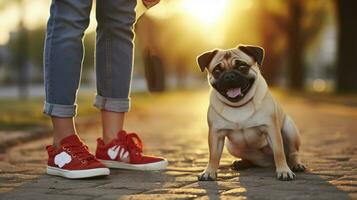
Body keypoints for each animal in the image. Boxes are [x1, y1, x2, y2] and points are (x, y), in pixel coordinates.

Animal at [196, 45, 304, 181]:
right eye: (217, 71)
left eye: (242, 67)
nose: (229, 76)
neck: (239, 105)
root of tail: (269, 162)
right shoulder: (216, 134)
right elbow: (213, 155)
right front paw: (209, 171)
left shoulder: (271, 130)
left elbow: (279, 152)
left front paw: (284, 171)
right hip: (232, 147)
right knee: (253, 160)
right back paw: (241, 163)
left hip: (290, 131)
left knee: (292, 153)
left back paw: (296, 164)